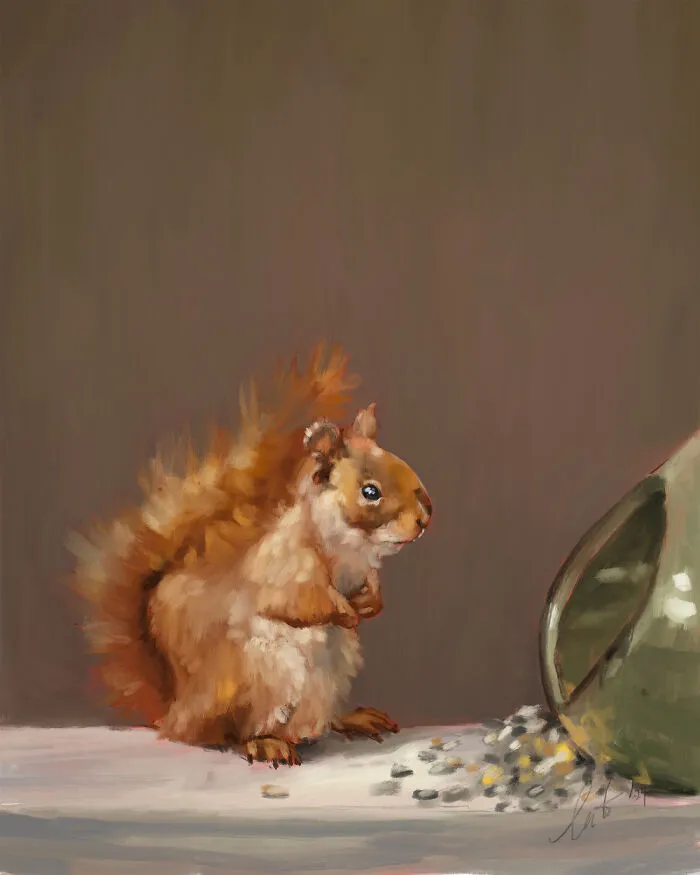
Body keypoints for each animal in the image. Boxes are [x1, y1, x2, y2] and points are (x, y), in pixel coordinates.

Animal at [69, 344, 432, 767]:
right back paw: (265, 742)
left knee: (317, 723)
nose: (425, 517)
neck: (350, 547)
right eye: (370, 491)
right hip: (258, 678)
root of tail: (177, 713)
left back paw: (351, 719)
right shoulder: (282, 567)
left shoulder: (362, 570)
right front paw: (345, 612)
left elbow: (369, 590)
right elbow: (300, 601)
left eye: (403, 465)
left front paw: (369, 604)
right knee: (230, 733)